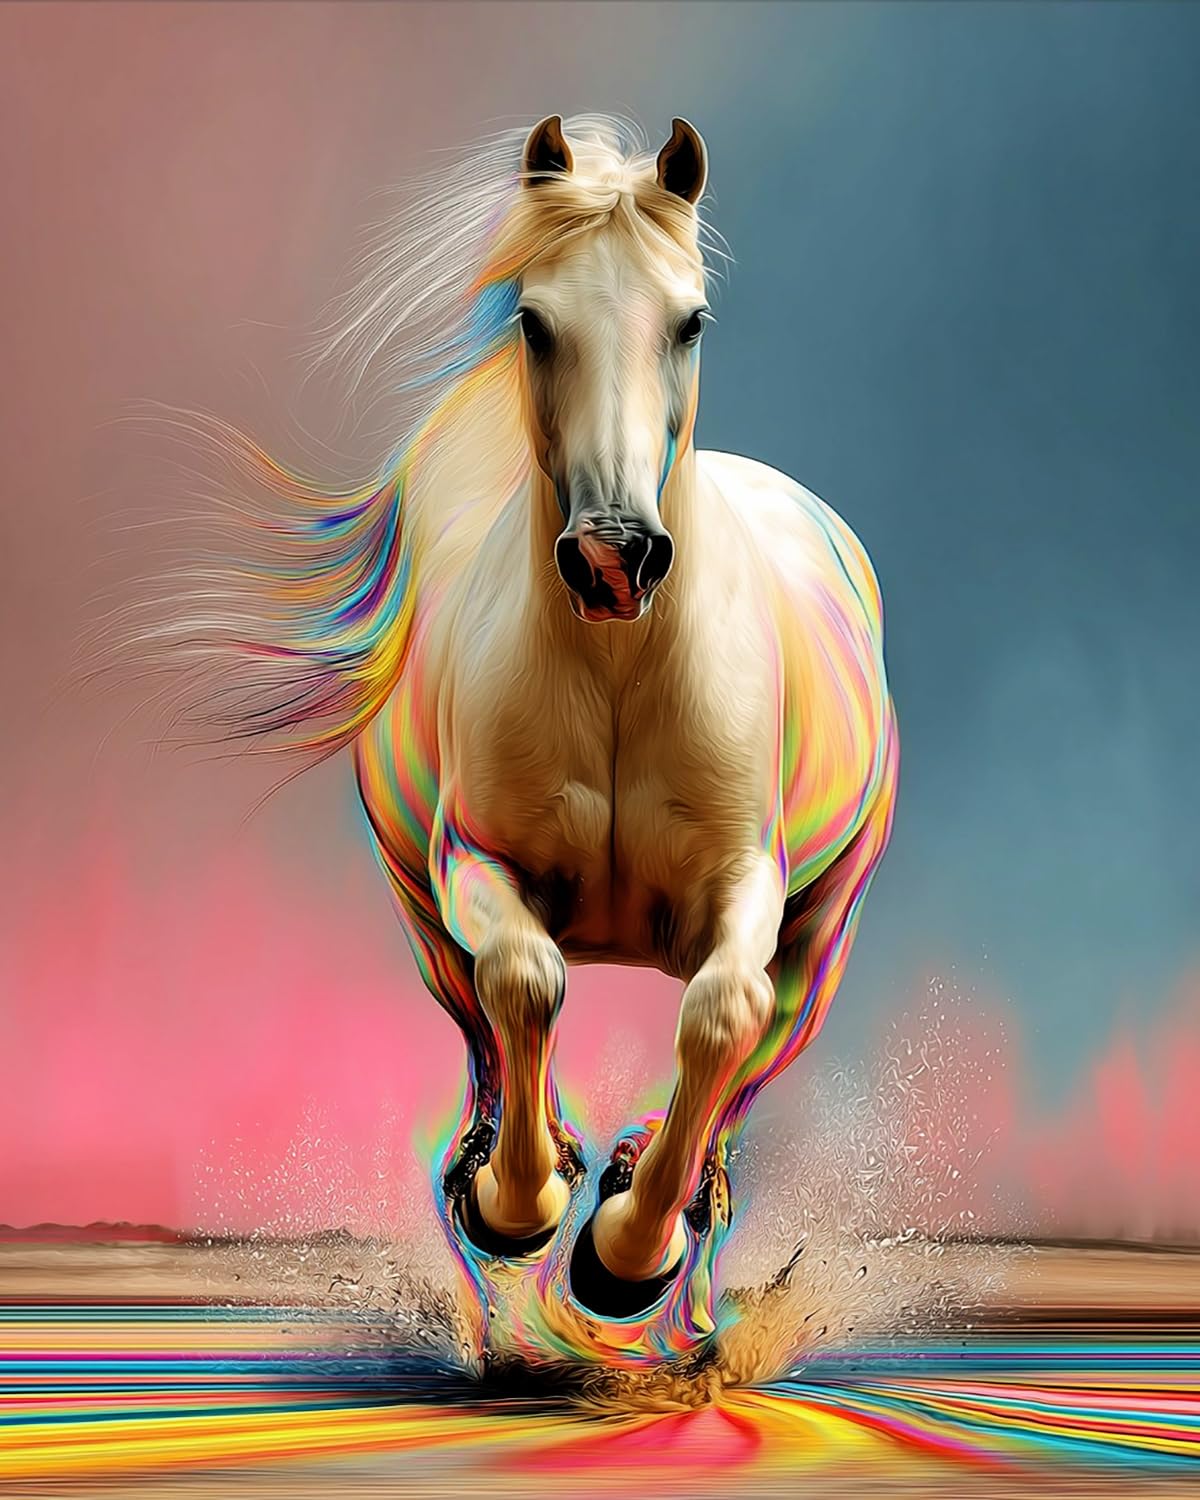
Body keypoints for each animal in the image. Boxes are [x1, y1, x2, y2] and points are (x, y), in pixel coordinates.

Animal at [148, 112, 898, 1341]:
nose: (613, 556)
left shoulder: (749, 884)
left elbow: (719, 1015)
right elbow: (527, 985)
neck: (620, 673)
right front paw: (526, 1205)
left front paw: (626, 1251)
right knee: (485, 1035)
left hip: (822, 930)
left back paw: (670, 1194)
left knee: (750, 1052)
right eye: (535, 322)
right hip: (422, 916)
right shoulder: (473, 866)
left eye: (690, 318)